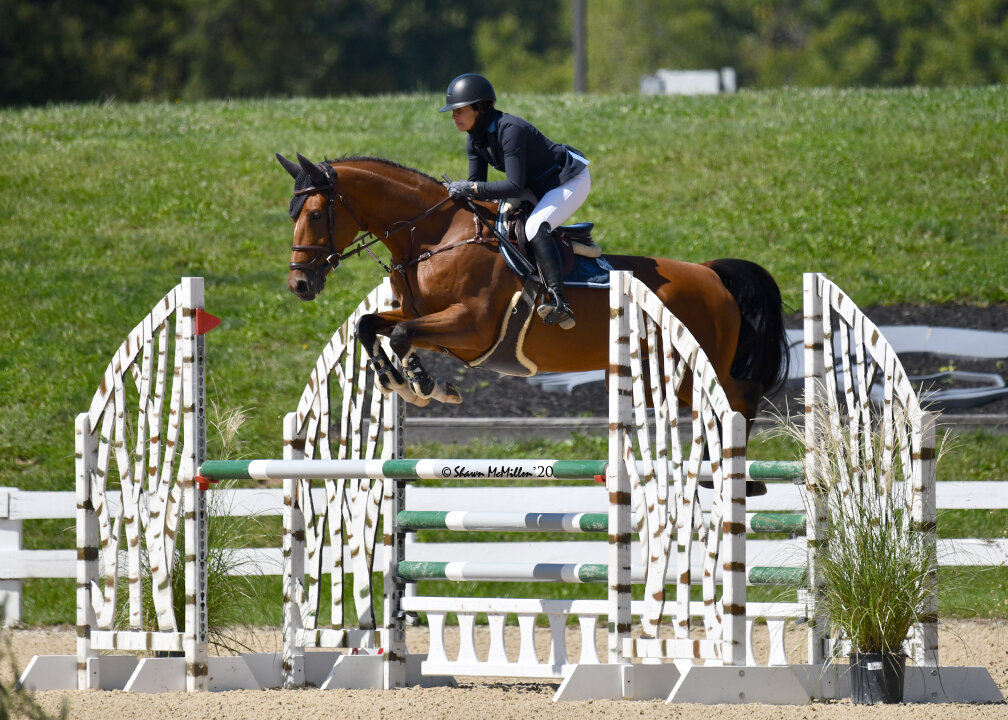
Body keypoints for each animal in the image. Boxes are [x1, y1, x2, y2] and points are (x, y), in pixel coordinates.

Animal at [280, 149, 790, 423]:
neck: (433, 237)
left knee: (737, 401)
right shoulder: (424, 317)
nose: (299, 283)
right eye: (293, 213)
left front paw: (424, 384)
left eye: (314, 214)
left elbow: (402, 335)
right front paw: (397, 381)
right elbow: (371, 325)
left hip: (693, 366)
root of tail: (709, 273)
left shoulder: (472, 327)